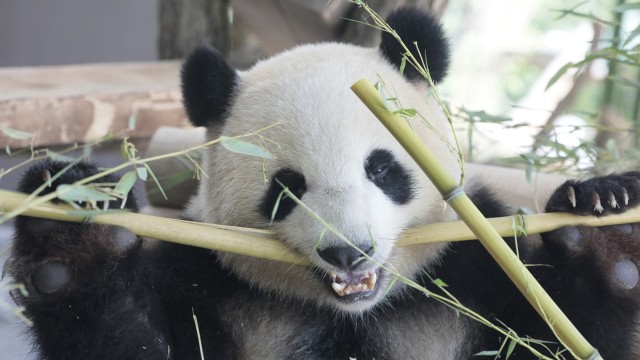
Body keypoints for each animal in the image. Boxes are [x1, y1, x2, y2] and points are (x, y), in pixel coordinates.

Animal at [7, 6, 640, 360]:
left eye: (381, 168)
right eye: (287, 187)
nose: (348, 252)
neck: (355, 312)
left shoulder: (472, 274)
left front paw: (605, 224)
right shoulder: (208, 285)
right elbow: (131, 343)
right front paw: (74, 232)